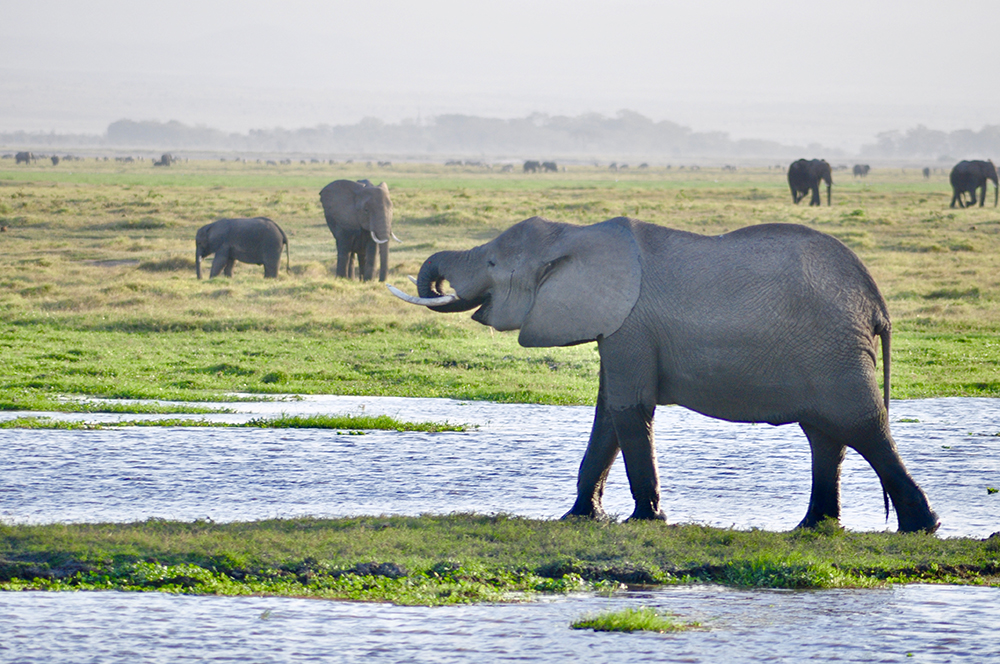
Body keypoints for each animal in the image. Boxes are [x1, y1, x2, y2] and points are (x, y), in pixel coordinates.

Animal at [389, 216, 939, 533]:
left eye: (490, 261)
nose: (434, 281)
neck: (576, 234)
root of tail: (876, 303)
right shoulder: (617, 327)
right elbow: (607, 417)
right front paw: (580, 518)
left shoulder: (630, 323)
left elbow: (628, 411)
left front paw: (645, 520)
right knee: (826, 435)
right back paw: (812, 526)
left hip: (834, 352)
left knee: (863, 426)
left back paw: (921, 527)